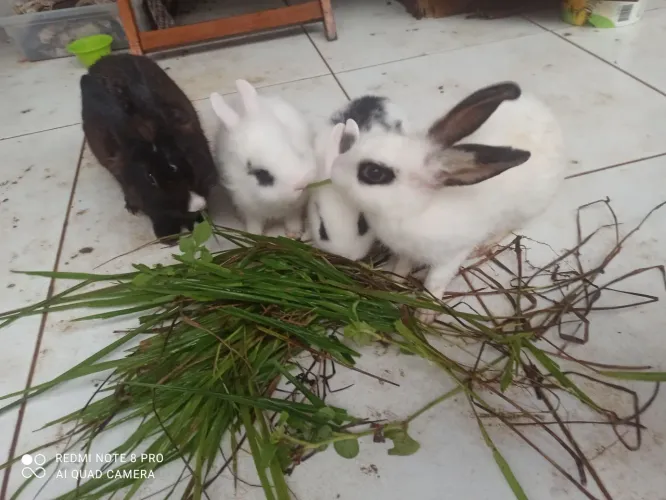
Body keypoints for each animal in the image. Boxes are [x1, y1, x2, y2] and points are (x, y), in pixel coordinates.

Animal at [81, 54, 218, 241]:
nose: (195, 204)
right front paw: (167, 237)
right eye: (150, 177)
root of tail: (105, 58)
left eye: (185, 157)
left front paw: (199, 225)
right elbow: (158, 214)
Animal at [210, 80, 317, 238]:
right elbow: (254, 223)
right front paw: (255, 235)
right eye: (261, 173)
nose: (302, 184)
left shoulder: (295, 206)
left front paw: (294, 233)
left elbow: (292, 217)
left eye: (295, 150)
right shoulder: (248, 207)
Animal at [329, 82, 565, 323]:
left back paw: (483, 247)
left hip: (525, 209)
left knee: (508, 228)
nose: (334, 169)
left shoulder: (452, 255)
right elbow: (402, 266)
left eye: (374, 172)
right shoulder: (406, 251)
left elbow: (436, 281)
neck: (416, 208)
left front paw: (425, 313)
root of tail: (547, 115)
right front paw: (393, 279)